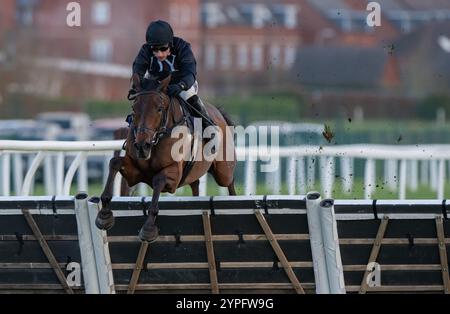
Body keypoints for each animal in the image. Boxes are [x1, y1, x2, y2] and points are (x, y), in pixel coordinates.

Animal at [94, 75, 236, 242]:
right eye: (134, 109)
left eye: (159, 109)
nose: (142, 145)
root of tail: (219, 113)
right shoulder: (134, 173)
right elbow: (114, 163)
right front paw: (104, 215)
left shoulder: (173, 175)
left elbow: (158, 179)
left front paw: (148, 228)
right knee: (195, 185)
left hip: (223, 172)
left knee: (229, 181)